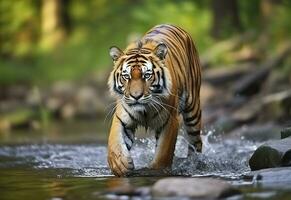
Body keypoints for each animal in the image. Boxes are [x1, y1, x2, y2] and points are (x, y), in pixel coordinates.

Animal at [107, 23, 203, 177]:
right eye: (126, 76)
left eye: (147, 75)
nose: (136, 96)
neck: (145, 110)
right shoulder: (121, 117)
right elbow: (115, 142)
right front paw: (119, 165)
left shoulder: (170, 120)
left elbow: (163, 153)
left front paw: (156, 170)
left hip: (193, 112)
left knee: (196, 144)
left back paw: (194, 163)